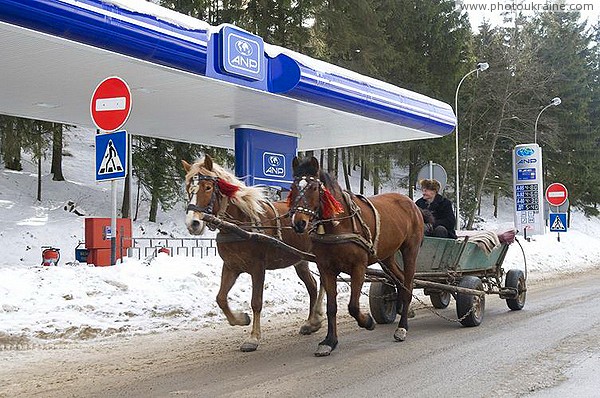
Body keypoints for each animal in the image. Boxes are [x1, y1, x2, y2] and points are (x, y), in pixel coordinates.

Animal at [182, 155, 324, 352]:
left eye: (208, 187)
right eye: (188, 188)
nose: (192, 223)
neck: (241, 224)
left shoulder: (258, 267)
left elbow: (256, 302)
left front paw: (253, 337)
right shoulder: (231, 266)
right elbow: (220, 298)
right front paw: (241, 319)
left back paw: (317, 316)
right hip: (300, 259)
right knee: (312, 285)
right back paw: (311, 322)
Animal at [290, 156, 422, 358]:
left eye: (313, 187)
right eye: (293, 187)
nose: (298, 223)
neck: (338, 225)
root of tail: (410, 202)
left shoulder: (358, 267)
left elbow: (352, 306)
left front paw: (367, 321)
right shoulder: (326, 268)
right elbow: (331, 307)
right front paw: (329, 341)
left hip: (410, 250)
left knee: (408, 284)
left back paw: (402, 327)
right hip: (388, 256)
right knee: (400, 279)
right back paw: (402, 309)